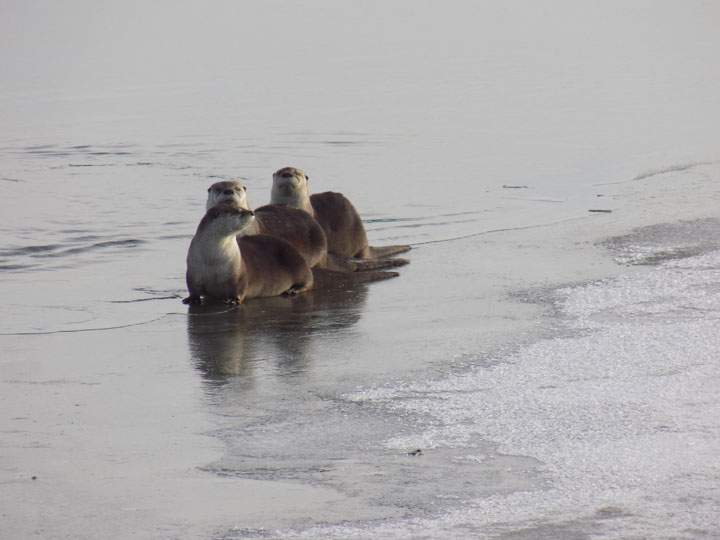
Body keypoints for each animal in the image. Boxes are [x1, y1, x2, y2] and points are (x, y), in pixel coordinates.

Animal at [184, 202, 313, 305]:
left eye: (242, 207)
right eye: (238, 210)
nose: (251, 212)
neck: (214, 261)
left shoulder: (239, 274)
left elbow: (240, 288)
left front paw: (233, 300)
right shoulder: (193, 271)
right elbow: (192, 288)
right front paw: (191, 299)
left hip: (297, 265)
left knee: (308, 282)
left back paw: (292, 290)